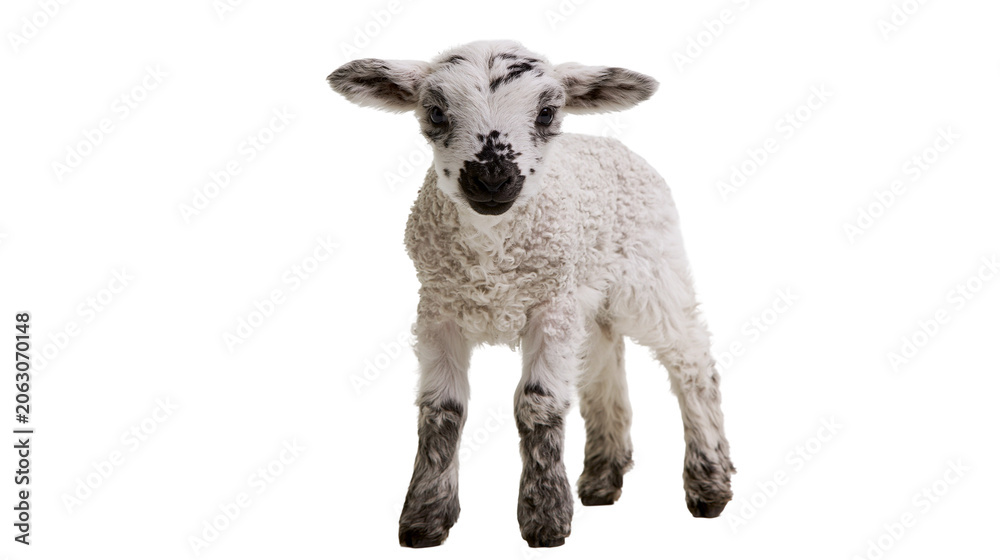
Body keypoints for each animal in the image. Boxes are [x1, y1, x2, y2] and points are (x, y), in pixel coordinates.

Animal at [327, 40, 735, 548]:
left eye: (546, 112)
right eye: (436, 112)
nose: (491, 179)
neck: (492, 252)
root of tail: (611, 145)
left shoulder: (548, 309)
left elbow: (537, 404)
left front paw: (545, 518)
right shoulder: (439, 310)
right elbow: (442, 411)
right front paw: (425, 518)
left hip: (651, 271)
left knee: (692, 361)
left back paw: (709, 484)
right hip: (590, 297)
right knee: (605, 363)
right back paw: (602, 479)